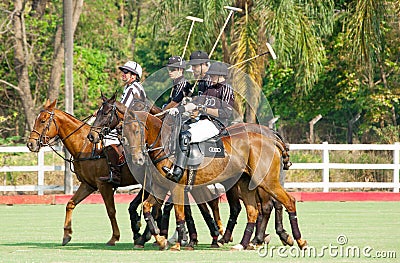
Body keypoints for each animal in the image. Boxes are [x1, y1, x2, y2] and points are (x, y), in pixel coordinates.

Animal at [25, 99, 158, 248]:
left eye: (42, 120)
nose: (30, 144)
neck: (85, 146)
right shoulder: (88, 184)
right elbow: (70, 203)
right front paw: (66, 235)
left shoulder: (103, 184)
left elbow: (111, 211)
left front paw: (114, 237)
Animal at [122, 111, 306, 252]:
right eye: (124, 134)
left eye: (137, 131)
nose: (137, 159)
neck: (166, 147)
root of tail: (271, 139)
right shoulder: (160, 188)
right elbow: (147, 208)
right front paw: (161, 240)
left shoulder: (177, 187)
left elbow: (180, 214)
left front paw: (178, 243)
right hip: (246, 183)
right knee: (253, 211)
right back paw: (243, 244)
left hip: (267, 181)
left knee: (286, 202)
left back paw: (298, 241)